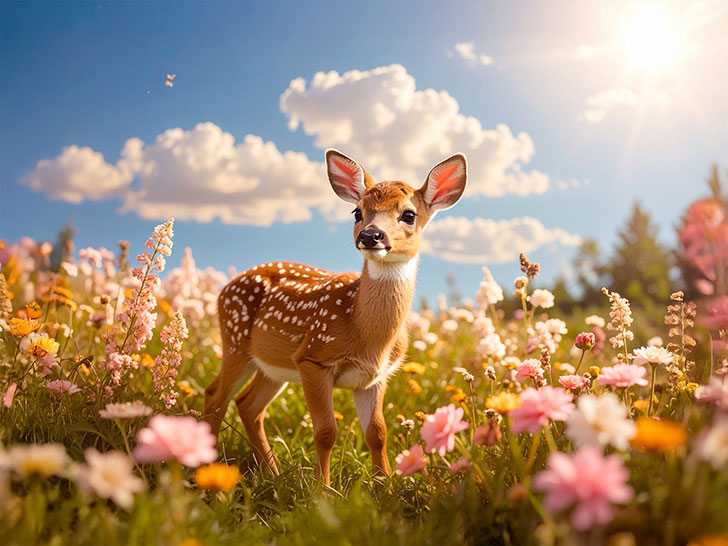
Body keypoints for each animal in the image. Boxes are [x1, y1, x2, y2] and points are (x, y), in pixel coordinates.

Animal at [204, 149, 467, 485]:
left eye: (409, 214)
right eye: (357, 212)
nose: (371, 235)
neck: (366, 334)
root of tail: (225, 287)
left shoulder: (375, 377)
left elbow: (378, 433)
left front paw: (385, 487)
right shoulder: (313, 359)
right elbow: (327, 432)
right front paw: (322, 491)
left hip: (274, 364)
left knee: (248, 405)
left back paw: (273, 474)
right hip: (236, 341)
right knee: (215, 396)